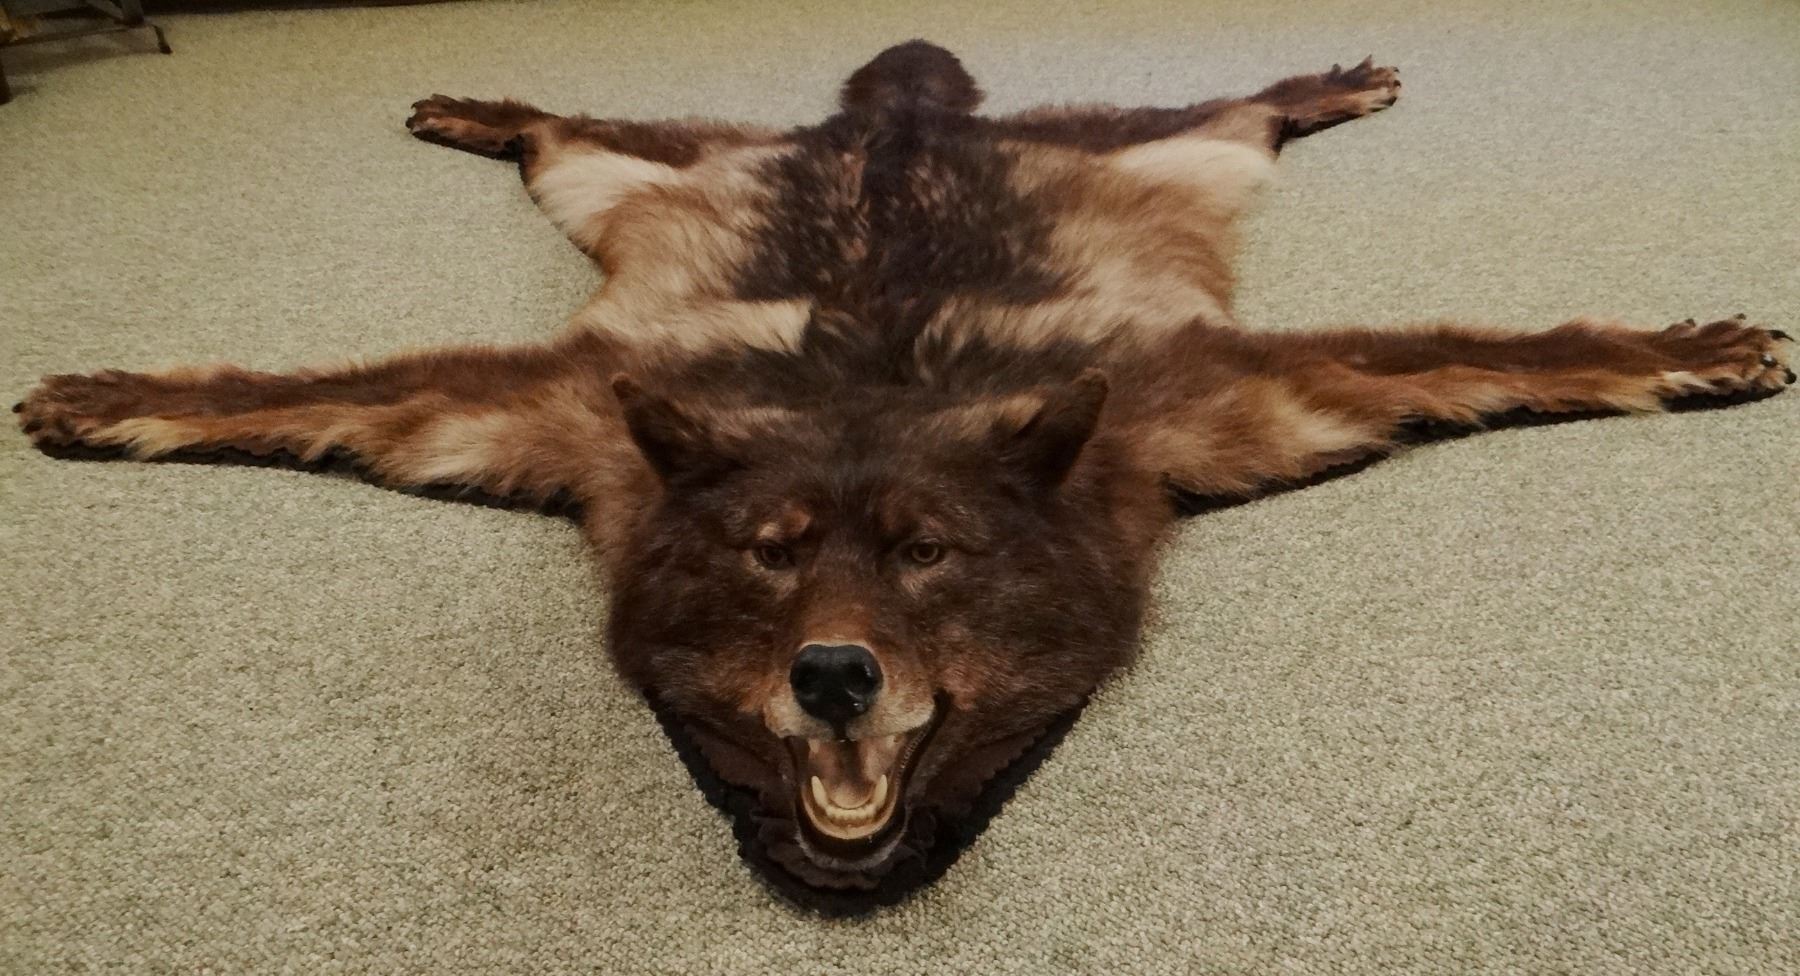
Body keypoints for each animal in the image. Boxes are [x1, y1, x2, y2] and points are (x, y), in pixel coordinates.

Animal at [15, 41, 1791, 913]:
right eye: (769, 551)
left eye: (931, 553)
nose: (836, 675)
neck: (866, 397)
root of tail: (897, 120)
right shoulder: (573, 413)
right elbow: (305, 394)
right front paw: (111, 397)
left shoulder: (1203, 400)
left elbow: (1484, 352)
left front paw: (1685, 347)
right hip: (620, 191)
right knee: (576, 128)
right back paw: (479, 101)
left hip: (1175, 162)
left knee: (1230, 106)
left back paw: (1322, 84)